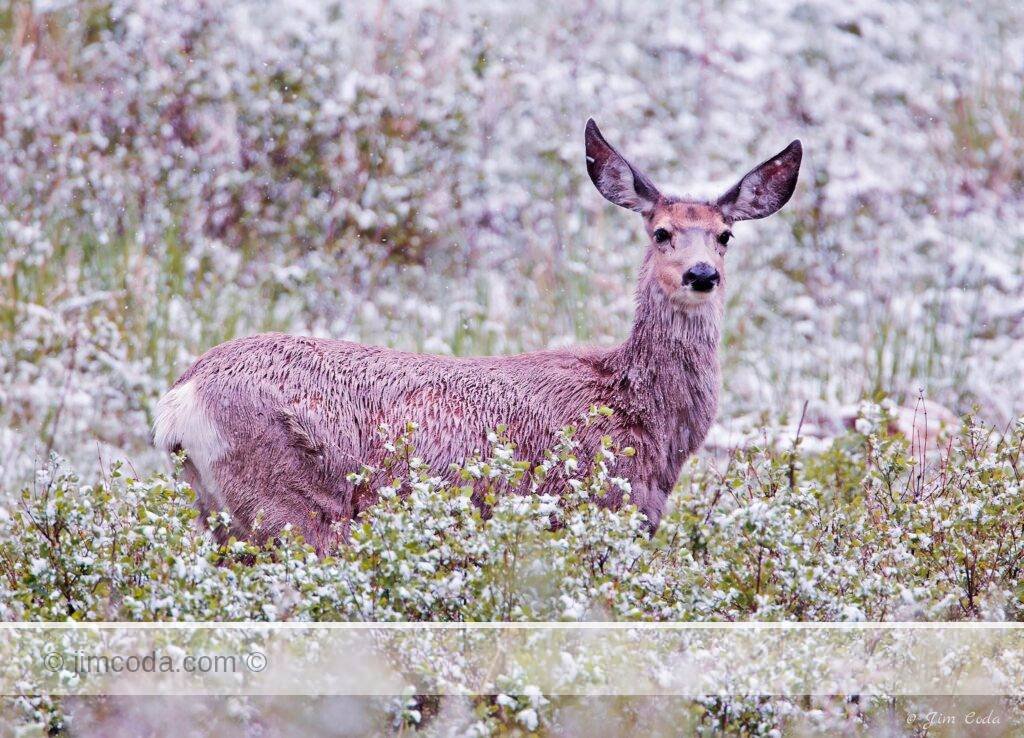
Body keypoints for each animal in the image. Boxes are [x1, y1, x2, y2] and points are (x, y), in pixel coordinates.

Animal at [154, 120, 802, 554]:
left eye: (725, 235)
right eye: (662, 232)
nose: (701, 274)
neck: (637, 409)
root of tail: (180, 401)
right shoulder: (592, 512)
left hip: (218, 514)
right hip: (289, 505)